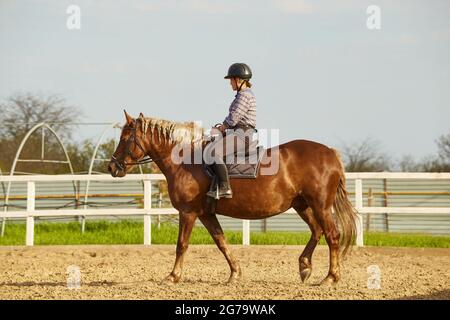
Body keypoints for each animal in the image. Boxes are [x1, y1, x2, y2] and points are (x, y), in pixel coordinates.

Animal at [107, 112, 356, 284]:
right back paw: (305, 267)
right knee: (317, 231)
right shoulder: (206, 214)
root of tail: (330, 152)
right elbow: (221, 241)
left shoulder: (188, 212)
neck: (185, 162)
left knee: (332, 235)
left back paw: (330, 277)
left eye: (125, 137)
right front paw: (235, 273)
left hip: (320, 205)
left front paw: (172, 276)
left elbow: (181, 245)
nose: (112, 167)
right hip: (302, 205)